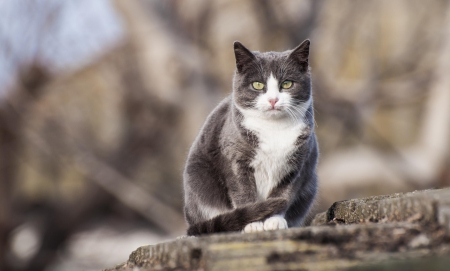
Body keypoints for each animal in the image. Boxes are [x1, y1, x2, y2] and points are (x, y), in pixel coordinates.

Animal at [182, 39, 316, 237]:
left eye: (287, 84)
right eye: (258, 85)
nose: (273, 100)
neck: (273, 129)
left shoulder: (296, 165)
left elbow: (284, 193)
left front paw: (274, 221)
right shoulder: (235, 160)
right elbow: (243, 192)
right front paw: (253, 224)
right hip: (198, 182)